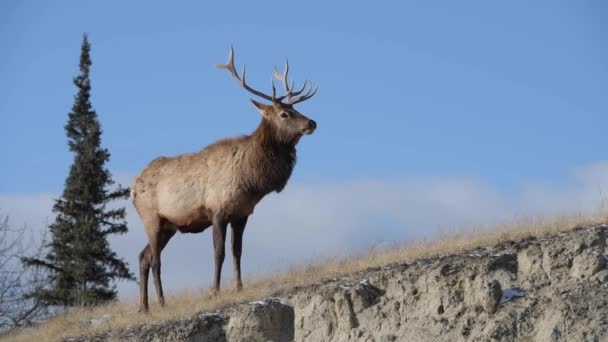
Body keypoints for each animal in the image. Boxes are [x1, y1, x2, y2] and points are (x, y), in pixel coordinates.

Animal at [130, 48, 316, 312]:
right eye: (284, 113)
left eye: (296, 109)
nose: (312, 123)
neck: (251, 180)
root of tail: (132, 188)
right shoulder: (217, 211)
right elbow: (219, 253)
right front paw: (214, 291)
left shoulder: (241, 215)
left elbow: (237, 251)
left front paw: (239, 287)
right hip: (151, 218)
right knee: (155, 260)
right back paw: (162, 303)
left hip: (169, 226)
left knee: (143, 257)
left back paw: (144, 307)